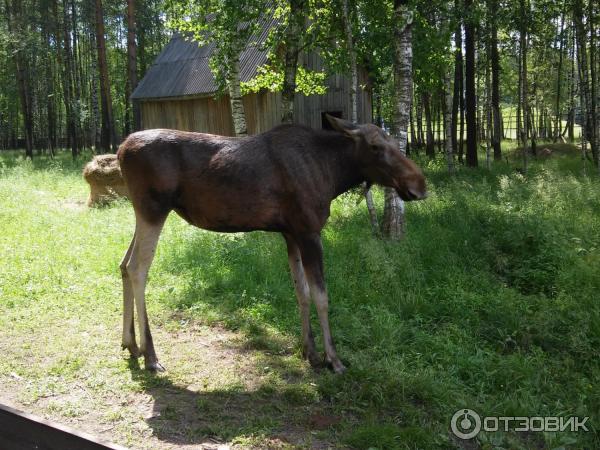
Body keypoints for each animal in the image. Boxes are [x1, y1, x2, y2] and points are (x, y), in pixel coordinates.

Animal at [118, 115, 426, 372]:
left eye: (393, 141)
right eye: (375, 146)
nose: (420, 184)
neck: (333, 175)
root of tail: (120, 151)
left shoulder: (290, 233)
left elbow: (301, 292)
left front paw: (310, 352)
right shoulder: (309, 231)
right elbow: (322, 296)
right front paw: (334, 359)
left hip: (143, 213)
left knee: (123, 264)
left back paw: (130, 344)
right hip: (154, 209)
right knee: (137, 269)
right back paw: (151, 355)